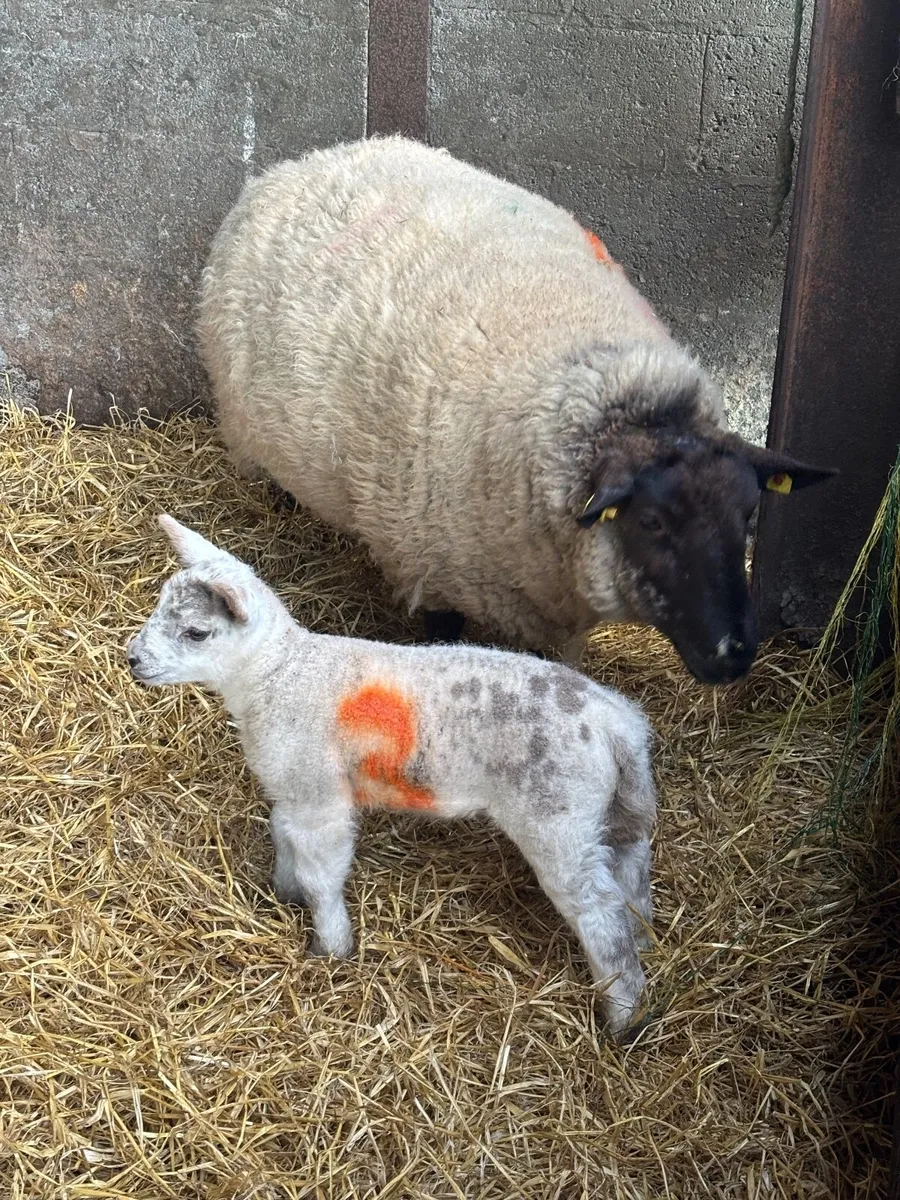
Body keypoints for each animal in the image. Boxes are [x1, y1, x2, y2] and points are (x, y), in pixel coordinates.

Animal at [127, 515, 658, 1037]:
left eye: (196, 632)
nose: (133, 659)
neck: (278, 674)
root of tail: (615, 721)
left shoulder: (320, 796)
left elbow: (322, 872)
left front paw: (331, 948)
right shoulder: (292, 786)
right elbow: (283, 836)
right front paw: (284, 892)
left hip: (556, 815)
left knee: (599, 910)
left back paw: (623, 1016)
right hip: (615, 805)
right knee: (630, 871)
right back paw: (645, 943)